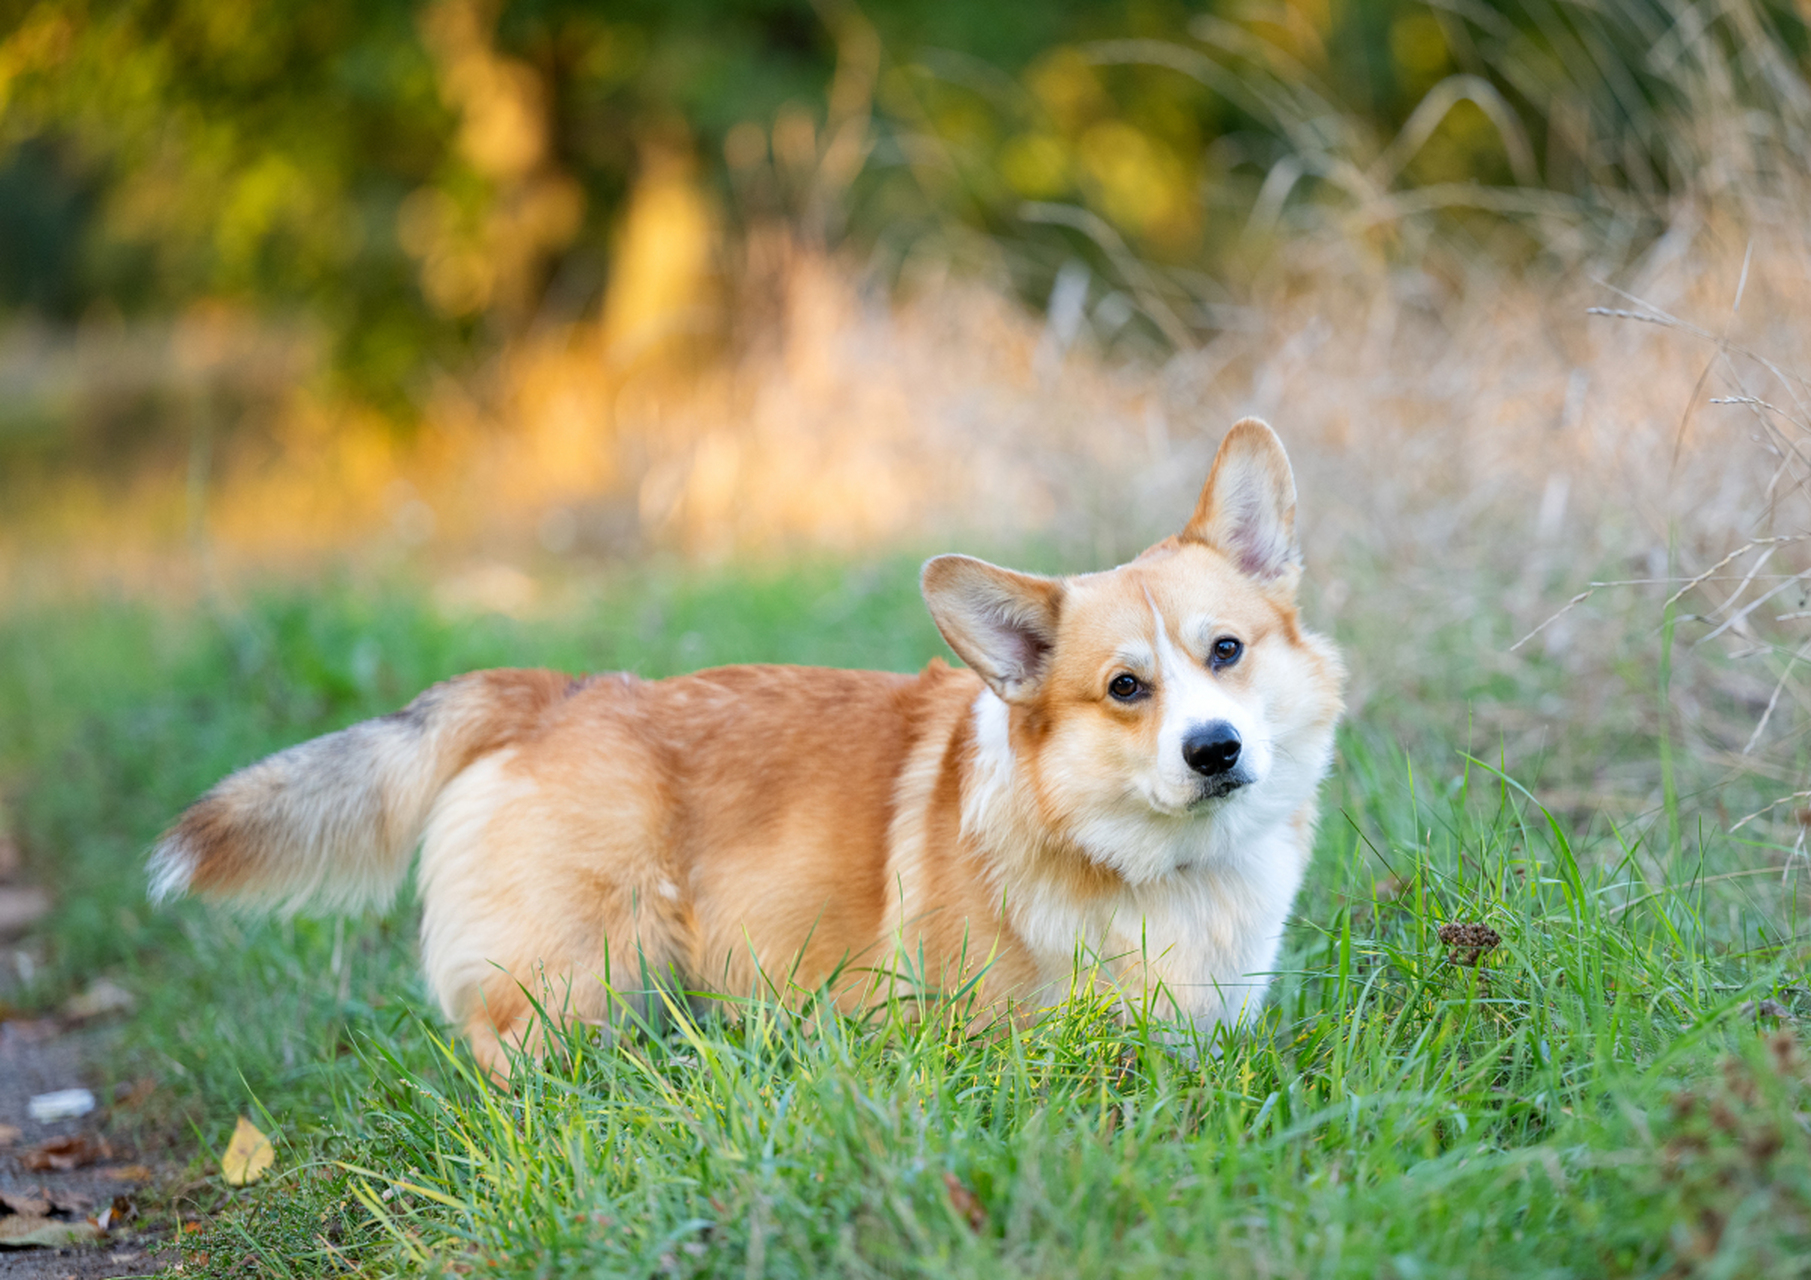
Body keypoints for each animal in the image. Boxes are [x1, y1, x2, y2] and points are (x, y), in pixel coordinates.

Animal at [152, 420, 1347, 1071]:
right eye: (1124, 688)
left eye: (1226, 650)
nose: (1214, 750)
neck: (1154, 866)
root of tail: (553, 691)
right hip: (580, 972)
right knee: (509, 1049)